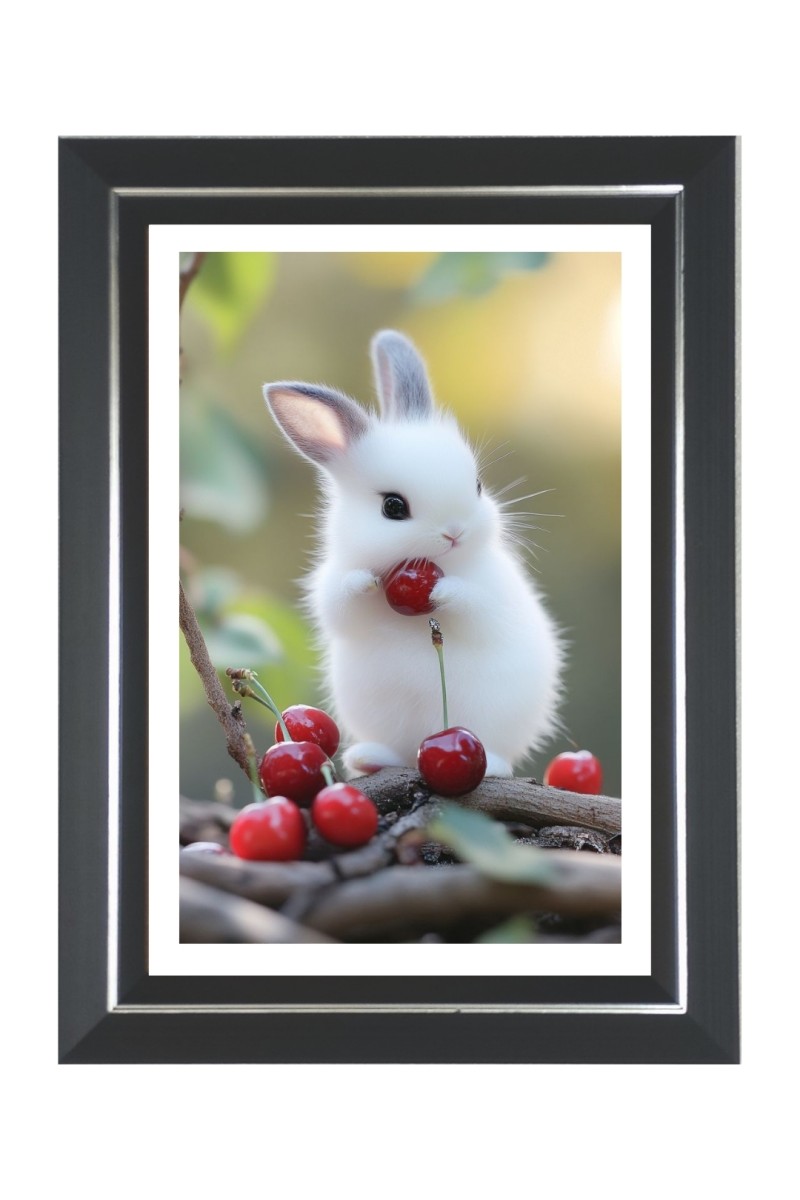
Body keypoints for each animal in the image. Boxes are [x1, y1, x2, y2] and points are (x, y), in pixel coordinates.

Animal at [263, 330, 564, 780]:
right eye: (393, 507)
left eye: (477, 485)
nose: (455, 532)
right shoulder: (330, 588)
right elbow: (341, 602)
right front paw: (367, 582)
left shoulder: (493, 595)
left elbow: (476, 605)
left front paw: (442, 593)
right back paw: (370, 758)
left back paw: (491, 765)